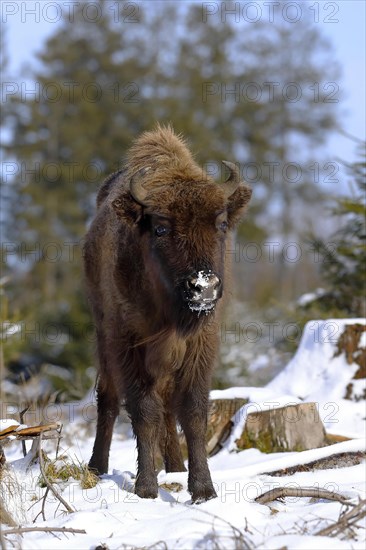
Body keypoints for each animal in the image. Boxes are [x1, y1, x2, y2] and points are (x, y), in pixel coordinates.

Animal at [84, 126, 252, 504]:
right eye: (161, 228)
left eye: (221, 224)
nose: (203, 287)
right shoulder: (128, 345)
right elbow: (143, 411)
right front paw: (146, 487)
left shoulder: (201, 345)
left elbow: (191, 411)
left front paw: (202, 489)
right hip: (103, 339)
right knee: (109, 398)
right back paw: (97, 466)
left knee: (167, 406)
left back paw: (174, 466)